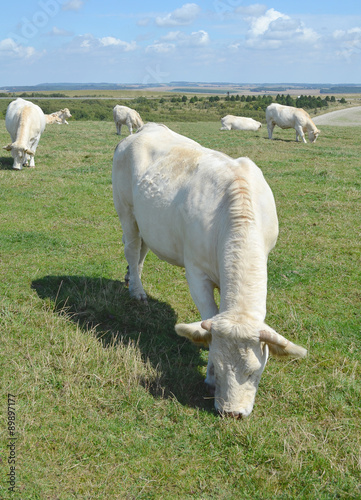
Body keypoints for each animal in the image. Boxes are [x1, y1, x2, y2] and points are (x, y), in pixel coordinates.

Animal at [112, 123, 306, 420]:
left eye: (254, 372)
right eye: (216, 364)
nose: (232, 413)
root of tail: (146, 127)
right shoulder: (196, 273)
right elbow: (208, 315)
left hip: (147, 222)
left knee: (142, 250)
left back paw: (131, 278)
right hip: (126, 212)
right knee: (133, 249)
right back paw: (137, 290)